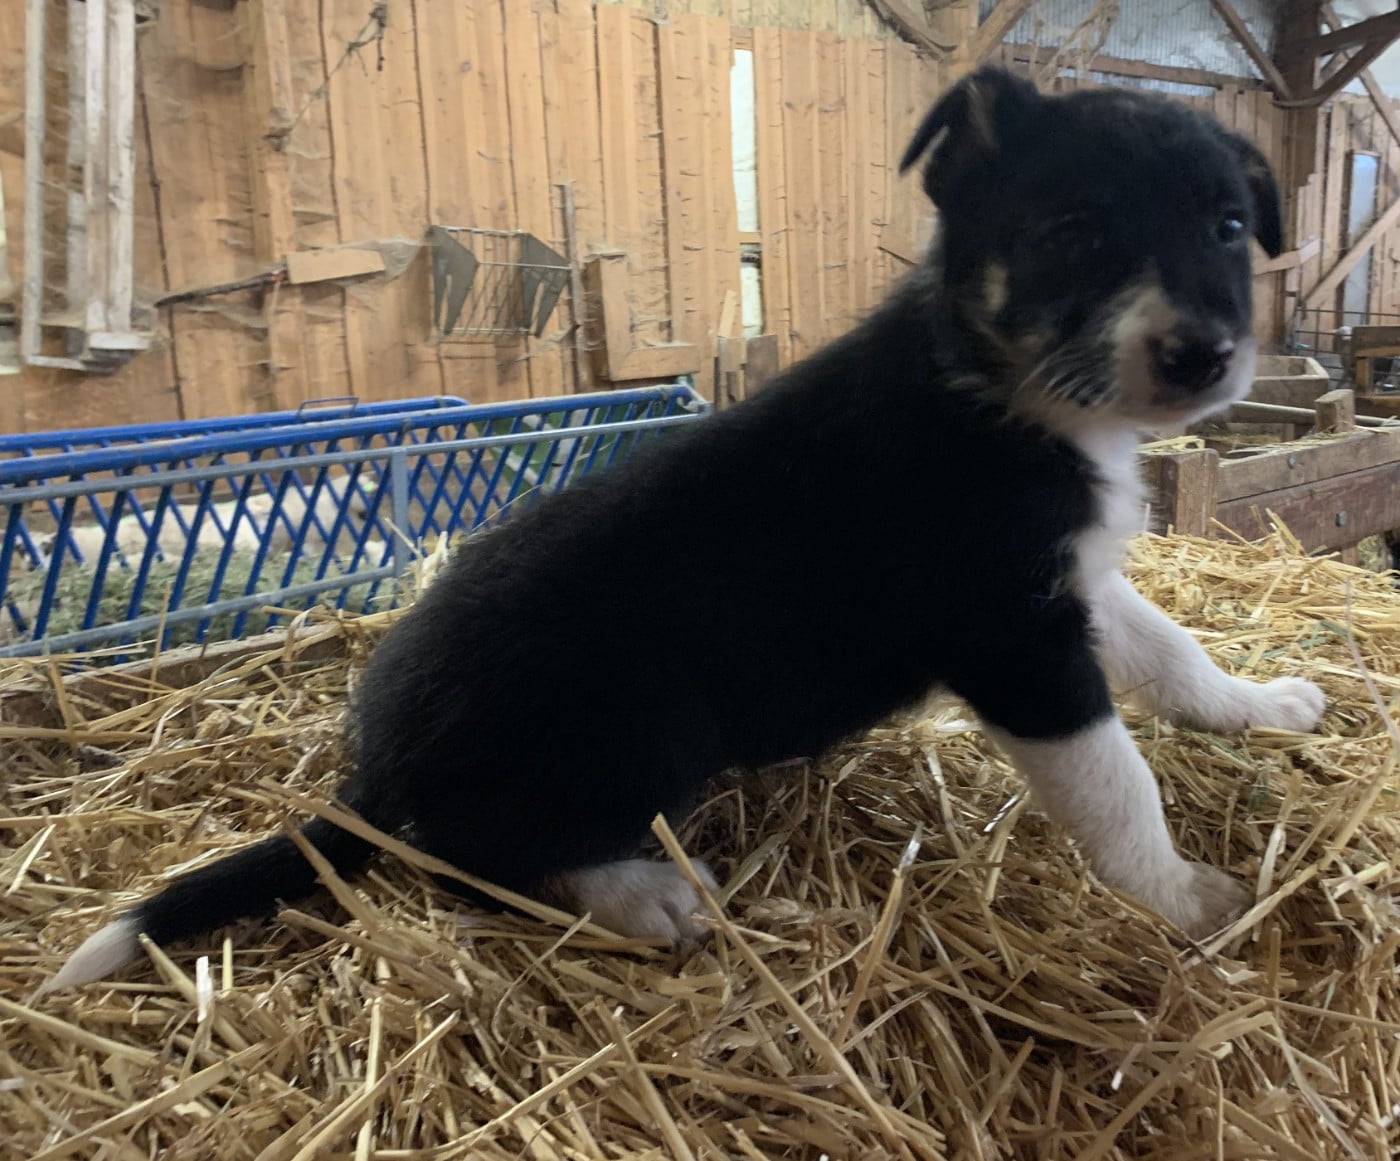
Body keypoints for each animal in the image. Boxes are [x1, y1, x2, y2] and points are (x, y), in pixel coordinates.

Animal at [48, 67, 1325, 990]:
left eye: (1225, 224)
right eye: (1070, 228)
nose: (1203, 355)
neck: (1008, 391)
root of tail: (376, 764)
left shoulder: (1076, 587)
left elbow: (1175, 656)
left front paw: (1260, 705)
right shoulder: (1013, 636)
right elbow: (1114, 784)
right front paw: (1184, 899)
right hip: (648, 717)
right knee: (470, 851)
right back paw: (640, 894)